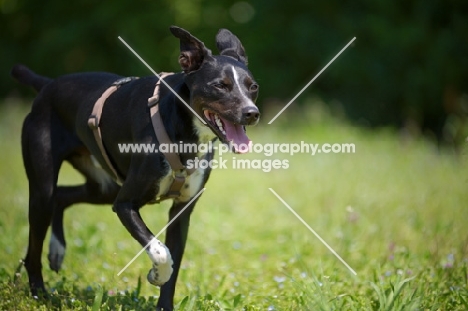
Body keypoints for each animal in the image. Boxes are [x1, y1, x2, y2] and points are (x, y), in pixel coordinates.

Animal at [11, 25, 260, 310]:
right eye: (220, 85)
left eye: (253, 87)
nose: (252, 113)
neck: (182, 130)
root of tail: (46, 85)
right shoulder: (124, 204)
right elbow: (161, 252)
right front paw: (156, 274)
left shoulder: (181, 211)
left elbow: (173, 265)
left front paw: (164, 304)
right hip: (45, 190)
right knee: (35, 239)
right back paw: (39, 292)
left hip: (104, 186)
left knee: (62, 196)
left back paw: (57, 250)